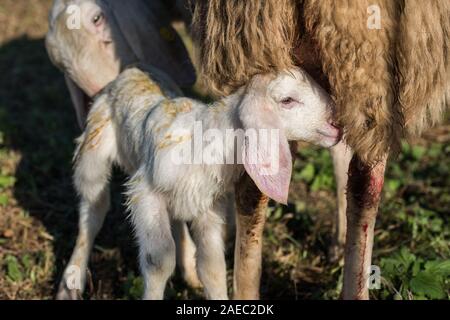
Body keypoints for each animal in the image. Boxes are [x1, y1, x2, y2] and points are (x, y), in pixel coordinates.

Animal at [57, 65, 342, 300]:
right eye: (287, 100)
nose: (336, 124)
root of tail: (130, 71)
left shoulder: (209, 207)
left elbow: (213, 267)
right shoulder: (146, 193)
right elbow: (159, 261)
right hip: (93, 151)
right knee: (92, 213)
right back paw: (71, 282)